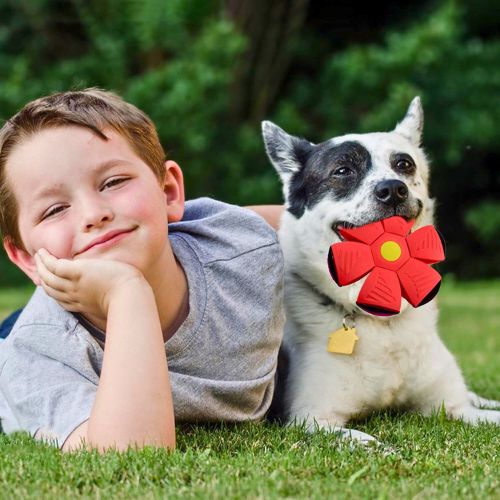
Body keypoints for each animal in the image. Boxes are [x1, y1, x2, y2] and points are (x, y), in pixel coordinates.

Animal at [262, 96, 500, 442]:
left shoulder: (454, 408)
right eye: (343, 170)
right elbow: (365, 440)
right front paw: (381, 446)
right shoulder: (312, 419)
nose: (393, 190)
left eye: (404, 164)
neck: (383, 323)